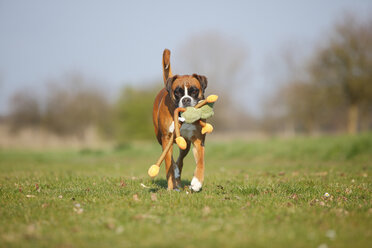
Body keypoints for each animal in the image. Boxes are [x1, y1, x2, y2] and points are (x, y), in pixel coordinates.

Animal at [152, 49, 209, 192]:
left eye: (194, 91)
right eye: (177, 92)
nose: (186, 99)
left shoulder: (198, 140)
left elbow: (200, 161)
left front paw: (197, 182)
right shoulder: (167, 137)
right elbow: (168, 163)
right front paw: (171, 187)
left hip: (186, 144)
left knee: (180, 160)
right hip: (161, 138)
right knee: (170, 158)